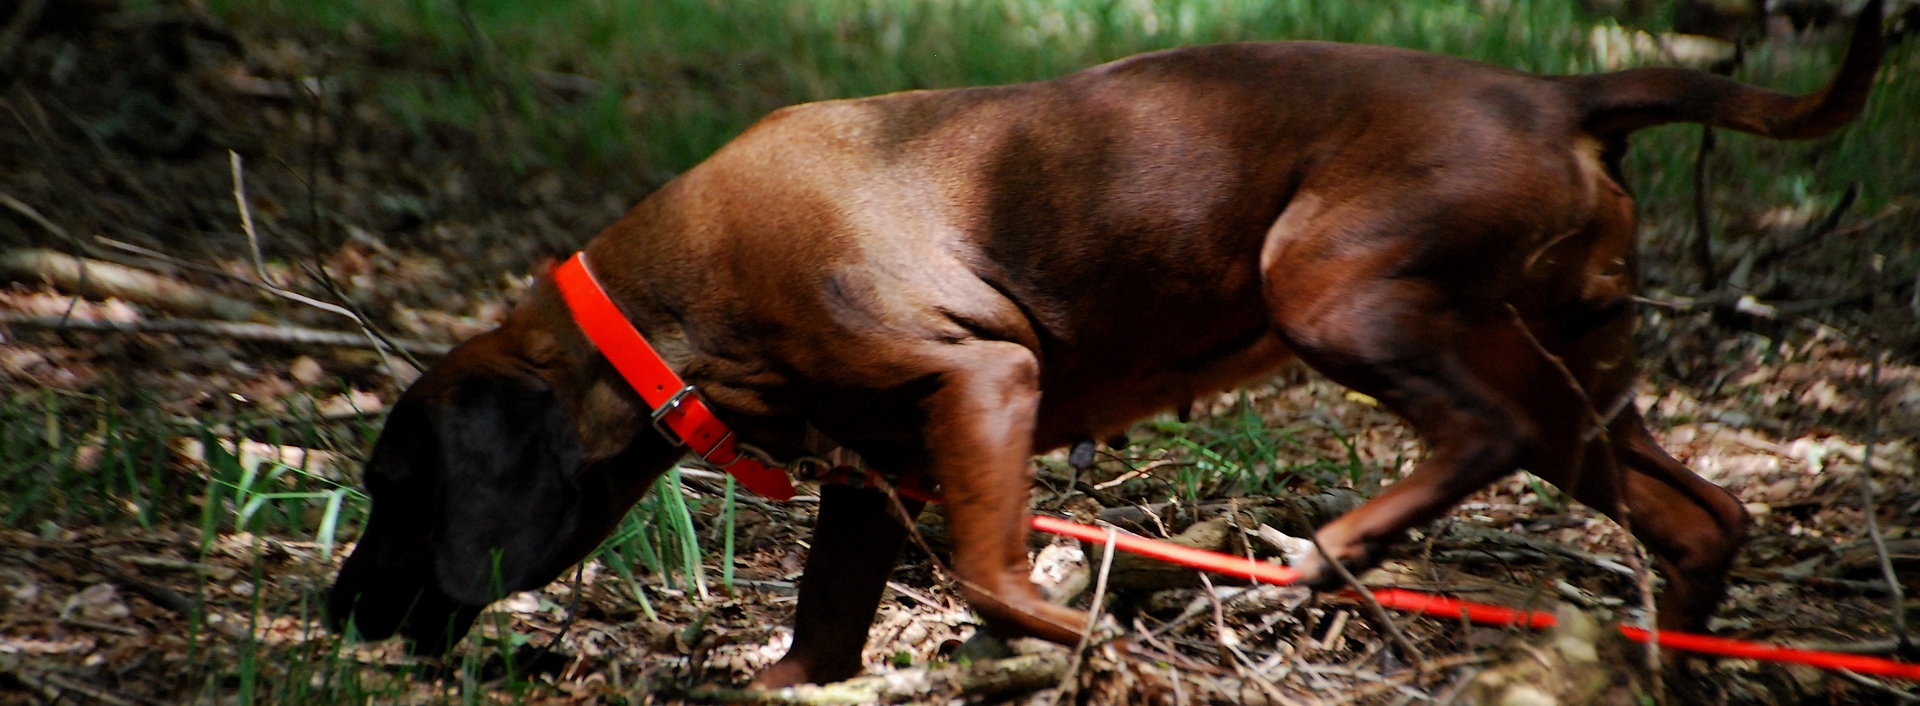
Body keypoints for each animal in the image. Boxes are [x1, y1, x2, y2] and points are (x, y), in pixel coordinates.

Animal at [330, 5, 1889, 686]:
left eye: (396, 488)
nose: (337, 612)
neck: (665, 321)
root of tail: (1565, 95)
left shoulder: (983, 381)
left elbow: (990, 573)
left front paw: (1090, 638)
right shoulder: (874, 472)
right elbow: (825, 632)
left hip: (1336, 291)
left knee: (1475, 435)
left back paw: (1327, 551)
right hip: (1580, 388)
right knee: (1704, 518)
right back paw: (1669, 665)